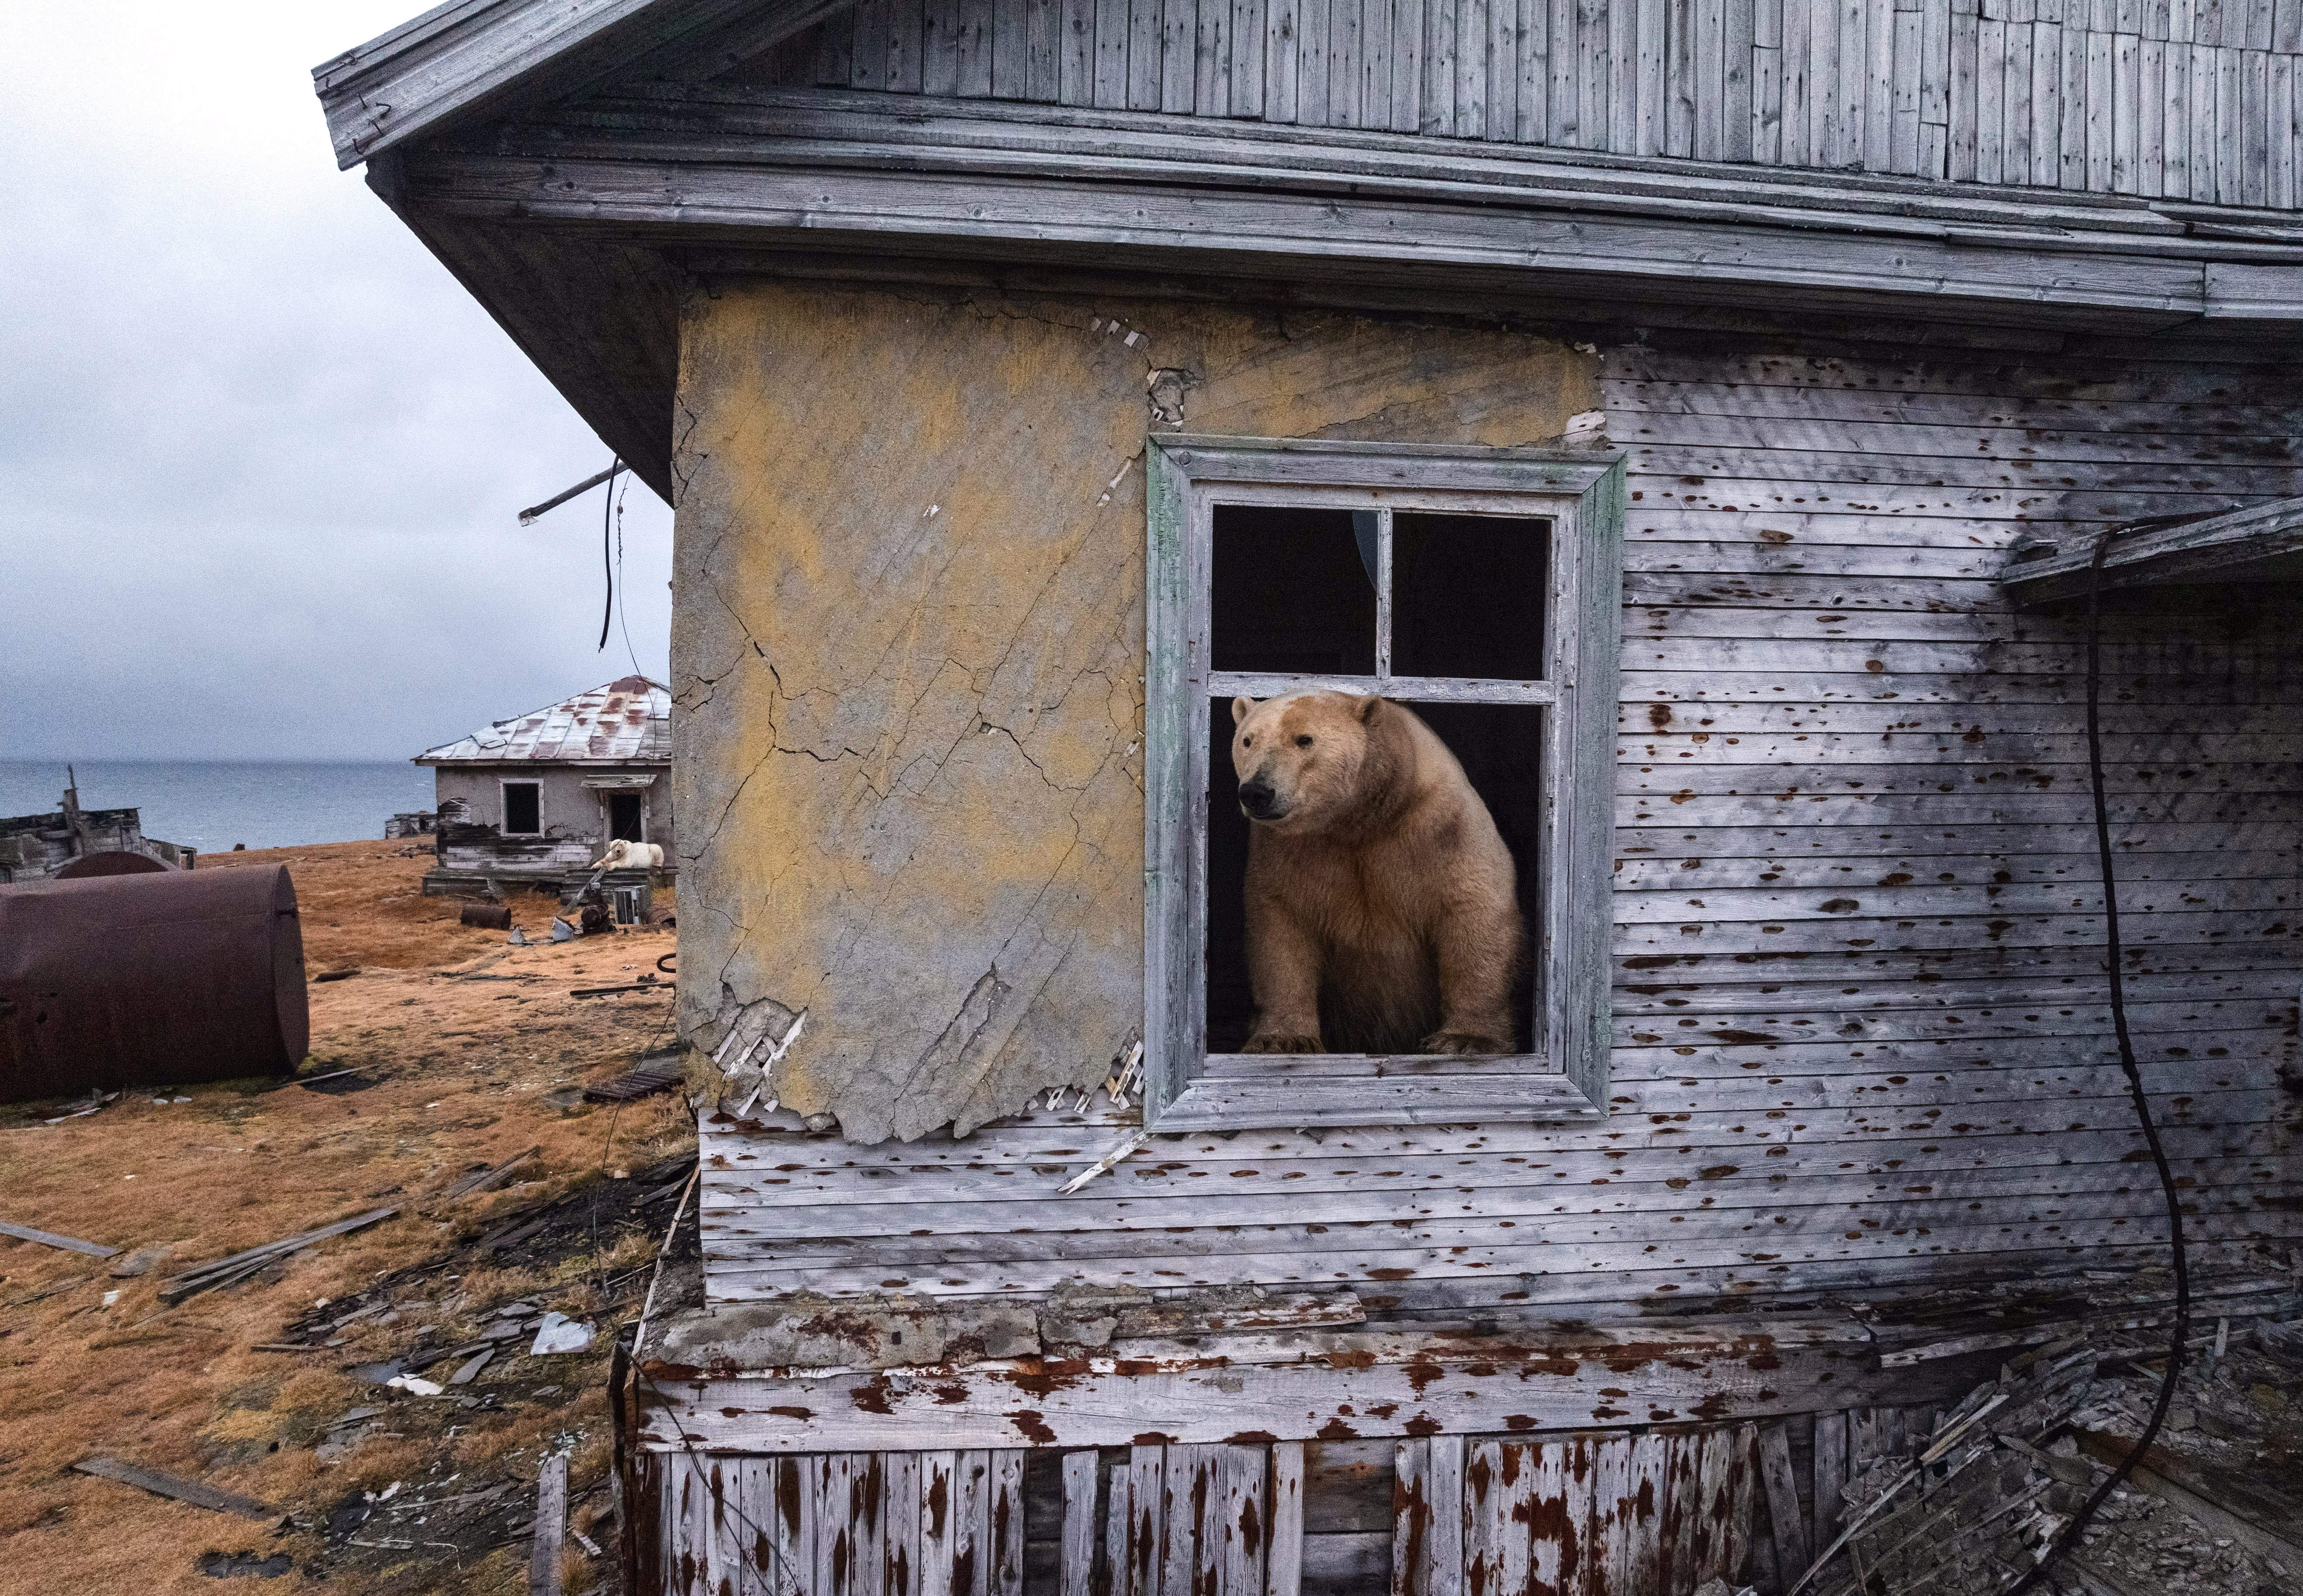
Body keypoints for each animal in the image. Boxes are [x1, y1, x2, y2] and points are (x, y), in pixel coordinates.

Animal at [1229, 691, 1524, 1056]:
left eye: (1304, 739)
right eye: (1248, 740)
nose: (1256, 792)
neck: (1363, 819)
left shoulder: (1443, 828)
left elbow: (1473, 912)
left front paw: (1466, 1039)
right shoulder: (1288, 851)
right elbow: (1282, 929)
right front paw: (1283, 1040)